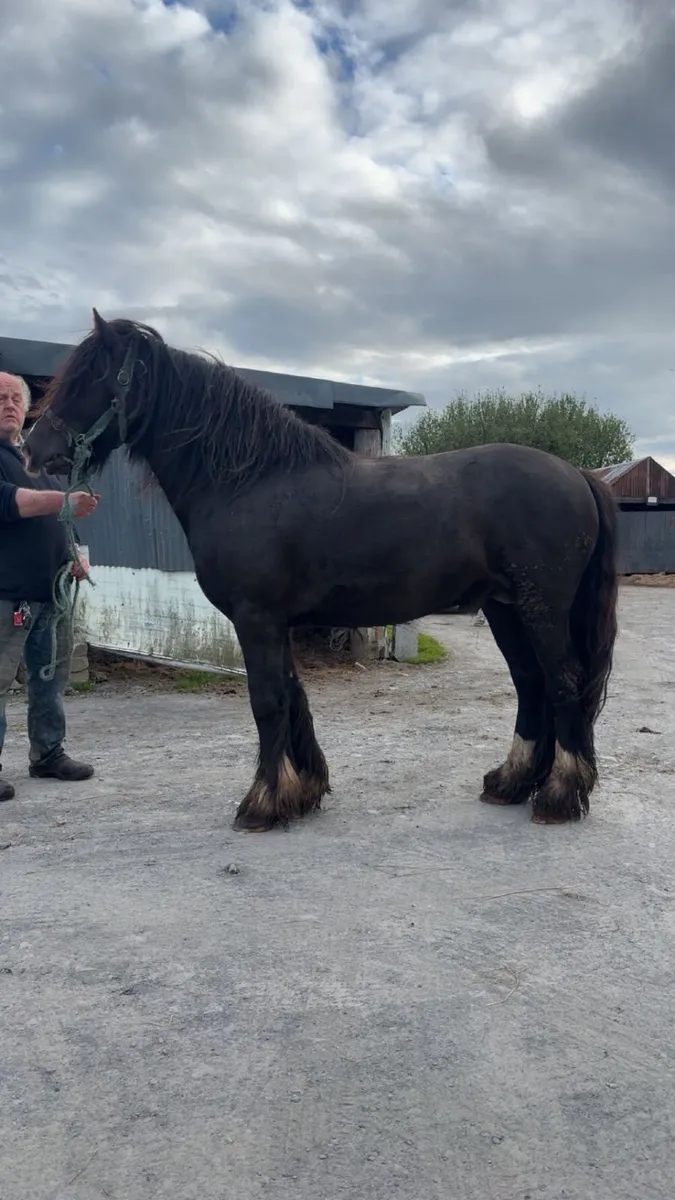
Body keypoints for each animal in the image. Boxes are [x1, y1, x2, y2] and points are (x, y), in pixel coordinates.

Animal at [24, 311, 619, 832]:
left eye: (92, 377)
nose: (33, 450)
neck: (248, 481)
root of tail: (577, 475)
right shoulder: (272, 622)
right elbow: (293, 698)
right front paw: (301, 792)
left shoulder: (256, 618)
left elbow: (267, 703)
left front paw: (262, 804)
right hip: (505, 609)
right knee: (531, 684)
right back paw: (512, 783)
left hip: (542, 608)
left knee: (563, 682)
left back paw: (559, 796)